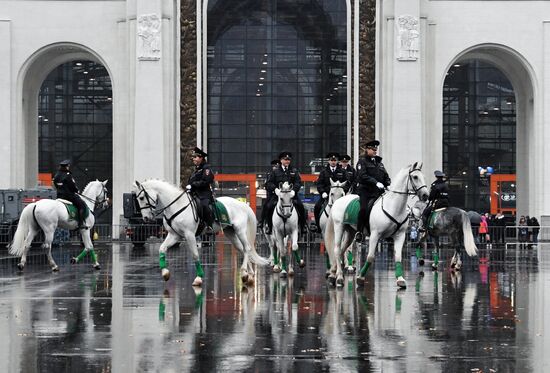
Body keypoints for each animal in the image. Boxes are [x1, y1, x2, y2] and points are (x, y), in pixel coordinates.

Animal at [134, 179, 272, 286]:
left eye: (141, 197)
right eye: (137, 199)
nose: (146, 218)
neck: (177, 206)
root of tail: (243, 204)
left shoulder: (189, 234)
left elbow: (195, 255)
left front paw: (199, 277)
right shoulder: (174, 235)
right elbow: (161, 249)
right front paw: (165, 273)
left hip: (240, 231)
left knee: (247, 248)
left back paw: (243, 272)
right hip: (231, 233)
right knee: (243, 249)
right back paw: (249, 275)